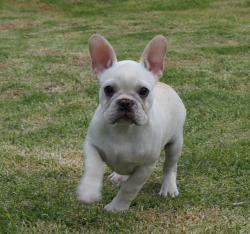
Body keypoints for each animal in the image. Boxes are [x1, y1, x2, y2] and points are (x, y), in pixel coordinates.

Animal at [77, 34, 187, 212]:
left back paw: (169, 187)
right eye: (108, 89)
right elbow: (93, 167)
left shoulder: (145, 166)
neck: (123, 129)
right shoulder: (91, 146)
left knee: (170, 166)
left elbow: (129, 188)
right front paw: (88, 191)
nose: (125, 102)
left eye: (144, 91)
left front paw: (116, 208)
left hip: (175, 143)